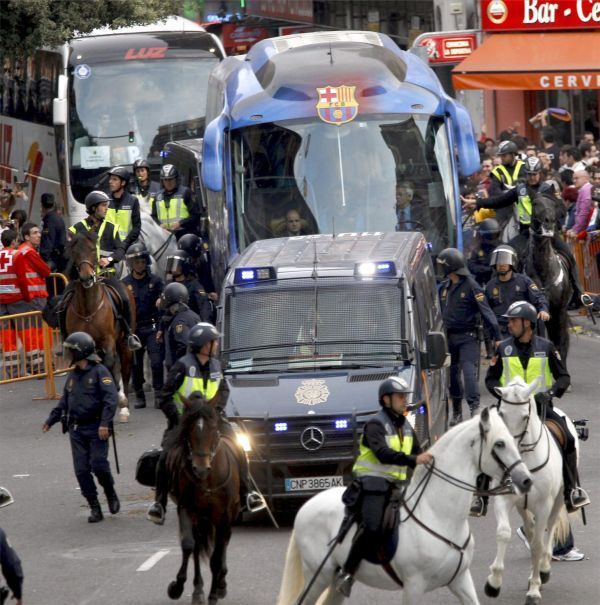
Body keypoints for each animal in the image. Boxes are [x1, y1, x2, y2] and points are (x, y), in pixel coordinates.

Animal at [67, 229, 135, 422]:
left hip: (124, 344)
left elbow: (110, 366)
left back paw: (124, 407)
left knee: (124, 369)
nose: (86, 277)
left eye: (92, 249)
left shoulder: (108, 341)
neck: (88, 309)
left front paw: (118, 400)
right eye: (74, 252)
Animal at [166, 392, 241, 604]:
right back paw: (198, 588)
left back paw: (220, 584)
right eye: (190, 429)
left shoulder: (223, 515)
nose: (200, 468)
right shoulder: (186, 508)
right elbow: (188, 545)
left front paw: (214, 593)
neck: (207, 479)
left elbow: (216, 555)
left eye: (213, 429)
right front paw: (177, 587)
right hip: (201, 519)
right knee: (199, 546)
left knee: (223, 543)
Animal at [276, 406, 528, 604]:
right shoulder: (414, 586)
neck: (438, 515)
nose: (526, 480)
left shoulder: (460, 579)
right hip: (318, 576)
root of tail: (306, 505)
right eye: (500, 444)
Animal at [482, 378, 572, 604]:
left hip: (558, 500)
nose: (506, 447)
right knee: (530, 531)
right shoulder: (505, 499)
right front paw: (493, 583)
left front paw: (534, 590)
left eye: (524, 416)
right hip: (522, 506)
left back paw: (544, 569)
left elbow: (539, 544)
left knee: (549, 529)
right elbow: (504, 533)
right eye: (501, 413)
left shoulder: (543, 505)